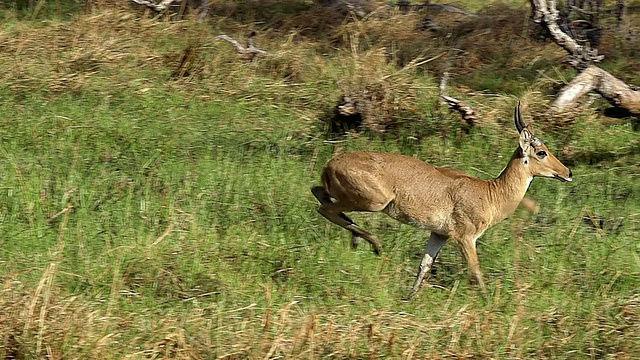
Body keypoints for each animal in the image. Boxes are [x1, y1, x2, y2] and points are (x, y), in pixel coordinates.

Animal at [312, 103, 572, 298]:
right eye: (541, 152)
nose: (568, 172)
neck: (491, 193)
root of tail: (330, 164)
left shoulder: (439, 234)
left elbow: (424, 266)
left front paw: (408, 299)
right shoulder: (465, 237)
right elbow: (475, 271)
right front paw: (490, 304)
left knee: (318, 193)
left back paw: (360, 241)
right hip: (374, 202)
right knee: (324, 209)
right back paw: (374, 244)